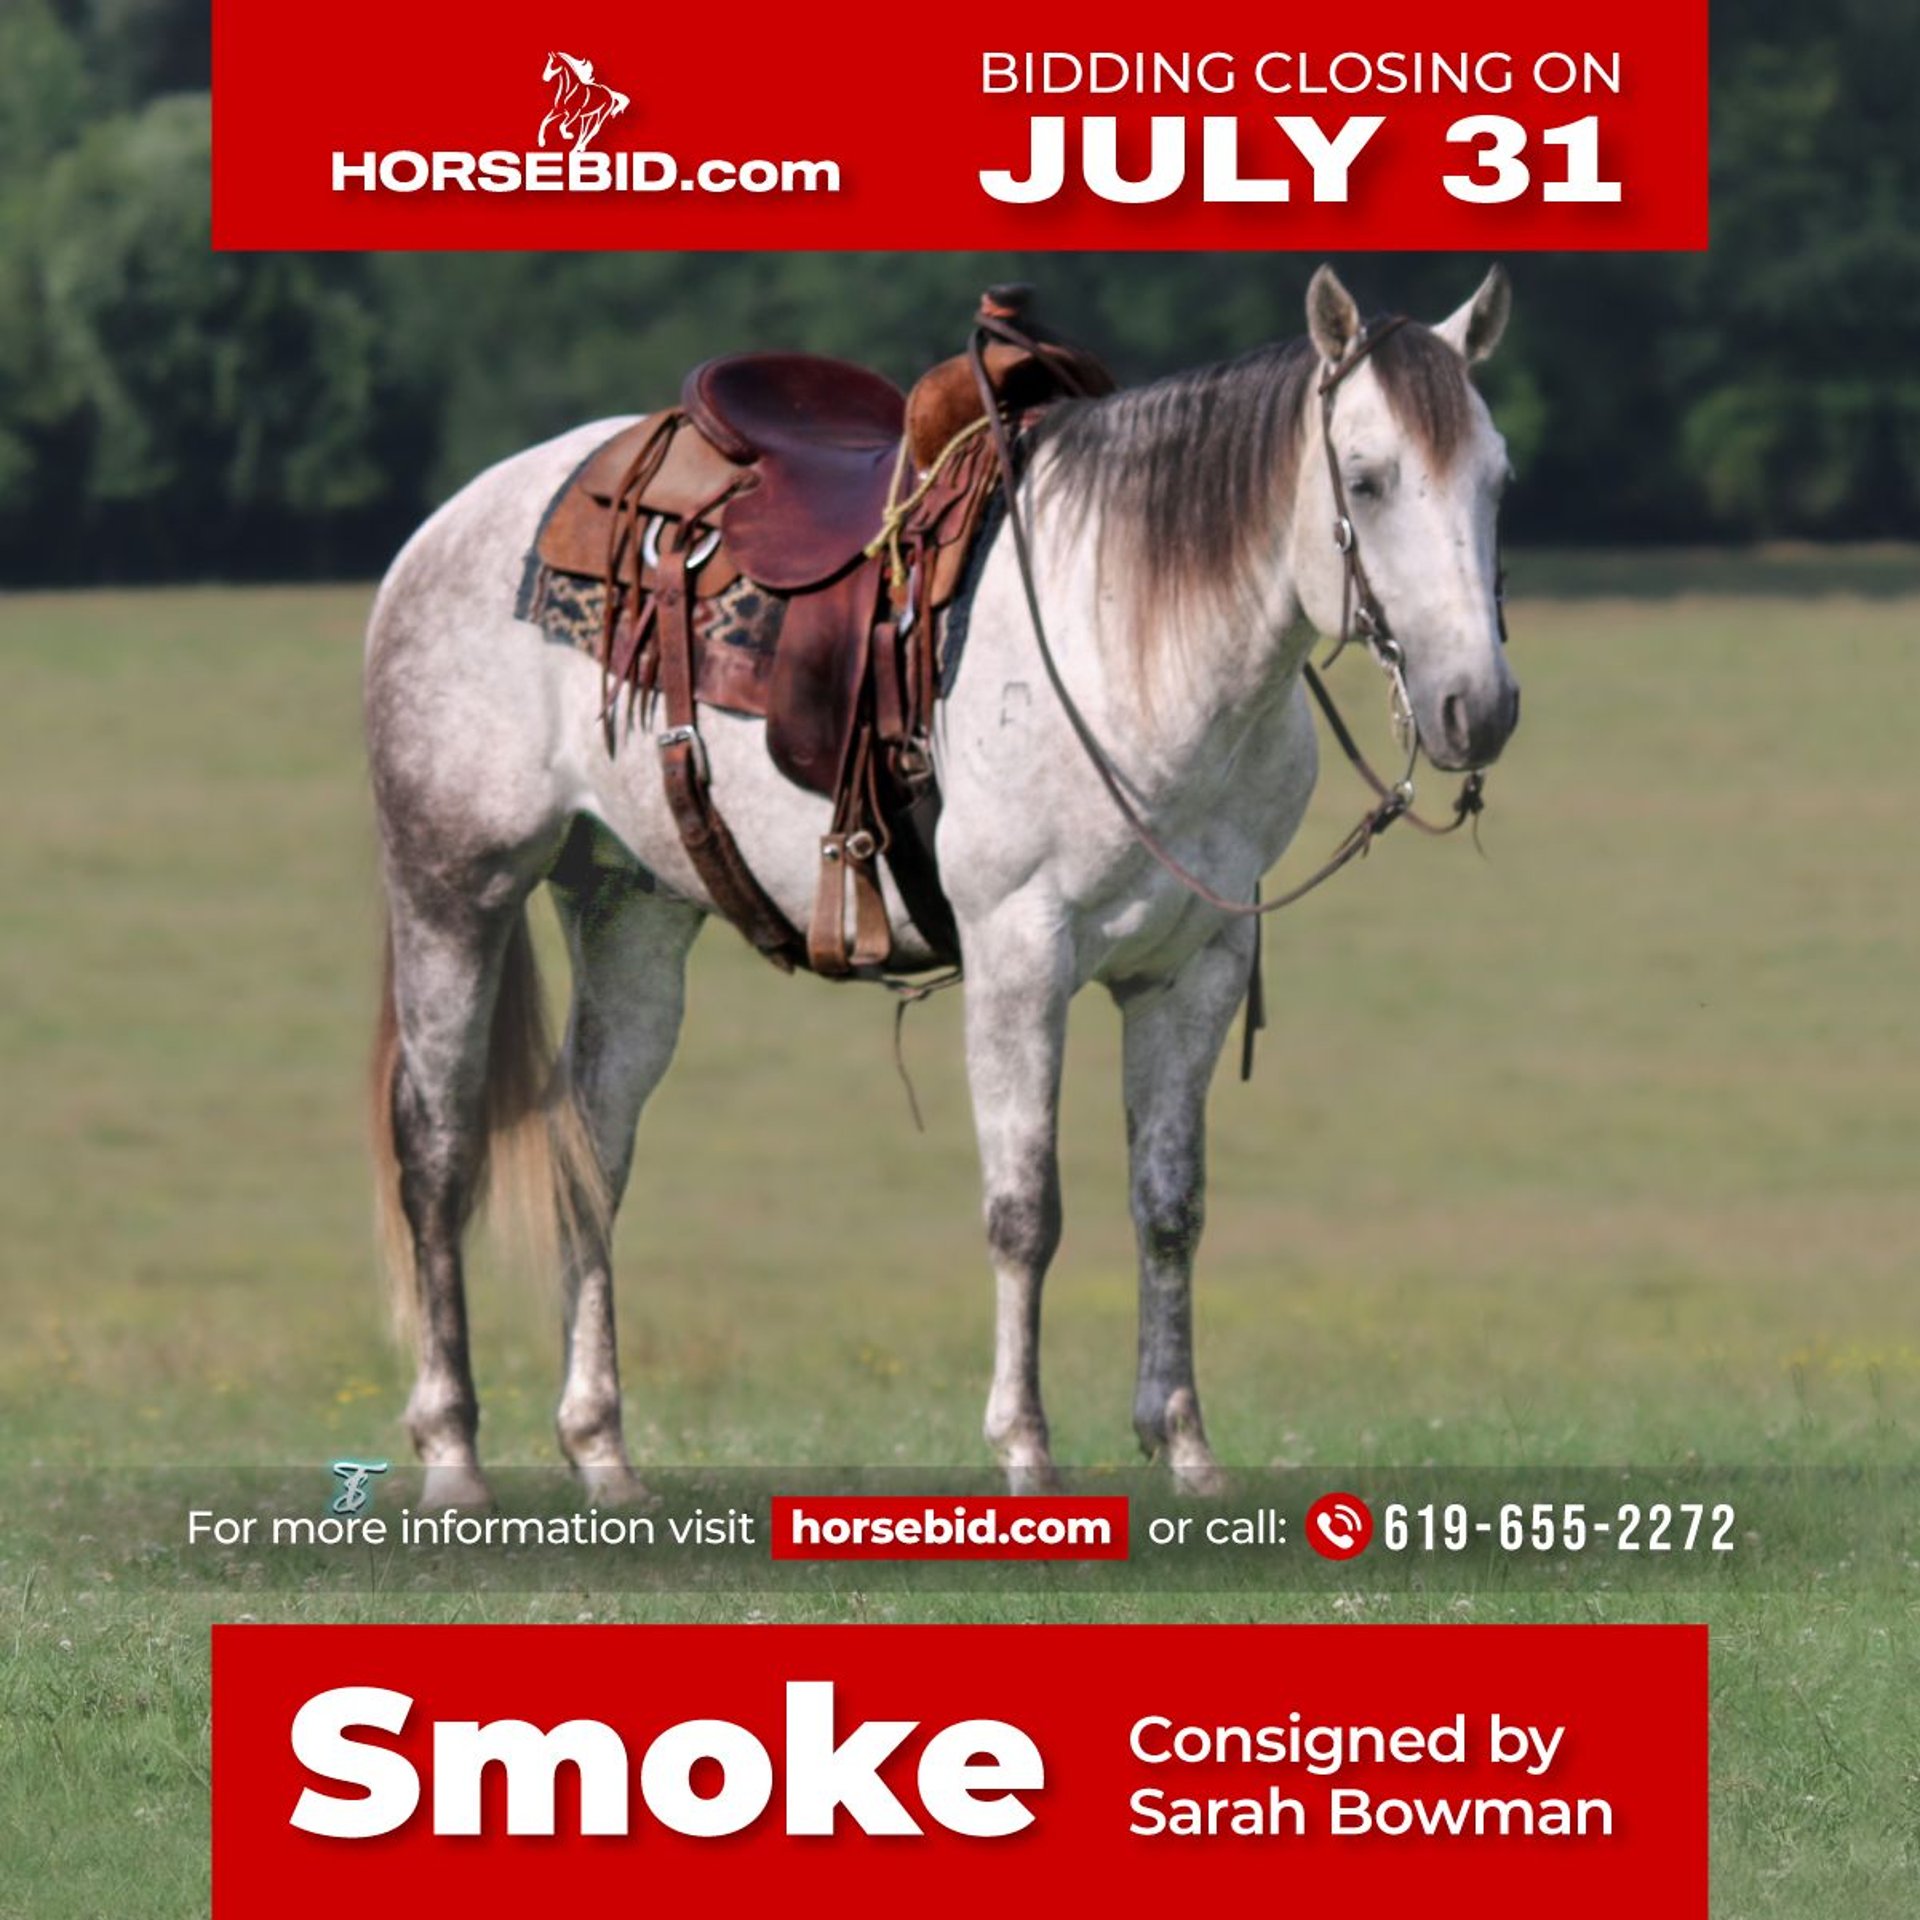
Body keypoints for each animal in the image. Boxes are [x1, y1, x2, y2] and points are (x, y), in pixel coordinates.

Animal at [364, 264, 1521, 1508]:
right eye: (1368, 476)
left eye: (1498, 477)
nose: (1479, 708)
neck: (1132, 639)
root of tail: (449, 526)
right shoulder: (1020, 953)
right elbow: (1024, 1212)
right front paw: (1025, 1451)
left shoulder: (1195, 969)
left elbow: (1170, 1207)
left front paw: (1185, 1450)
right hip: (453, 886)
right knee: (437, 1149)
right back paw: (452, 1455)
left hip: (632, 912)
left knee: (592, 1150)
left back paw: (605, 1455)